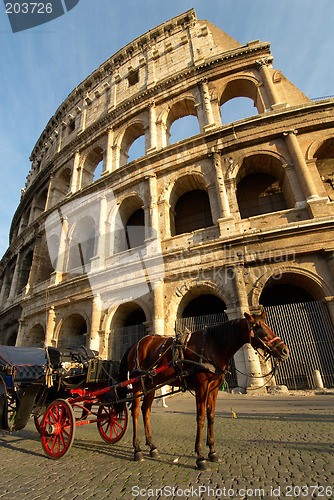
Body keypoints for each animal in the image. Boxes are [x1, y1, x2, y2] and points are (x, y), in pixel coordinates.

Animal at [116, 310, 288, 470]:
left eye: (268, 326)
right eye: (260, 328)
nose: (284, 350)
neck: (212, 346)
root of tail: (135, 345)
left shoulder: (214, 388)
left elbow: (211, 417)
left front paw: (212, 452)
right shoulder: (201, 387)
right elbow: (201, 418)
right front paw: (200, 457)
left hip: (151, 384)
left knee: (146, 410)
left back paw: (152, 447)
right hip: (138, 384)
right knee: (135, 411)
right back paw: (137, 450)